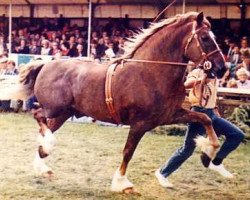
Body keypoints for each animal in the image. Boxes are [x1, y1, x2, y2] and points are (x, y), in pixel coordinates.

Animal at [0, 12, 227, 192]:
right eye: (205, 38)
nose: (222, 68)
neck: (150, 72)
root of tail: (45, 64)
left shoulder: (169, 115)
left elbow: (205, 117)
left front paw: (209, 152)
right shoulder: (140, 123)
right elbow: (128, 151)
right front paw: (122, 183)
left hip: (63, 113)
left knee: (45, 127)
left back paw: (44, 162)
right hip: (54, 108)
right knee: (37, 115)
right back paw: (47, 146)